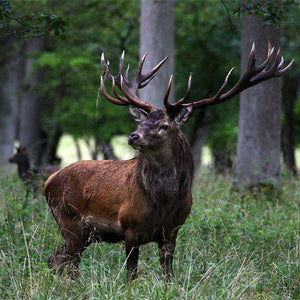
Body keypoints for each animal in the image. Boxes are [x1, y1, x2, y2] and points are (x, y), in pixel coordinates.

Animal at [44, 42, 292, 282]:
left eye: (164, 126)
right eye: (142, 122)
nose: (133, 136)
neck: (163, 203)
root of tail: (49, 181)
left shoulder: (172, 230)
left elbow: (168, 274)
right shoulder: (129, 227)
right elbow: (131, 276)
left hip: (85, 233)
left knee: (58, 259)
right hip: (69, 220)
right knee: (65, 262)